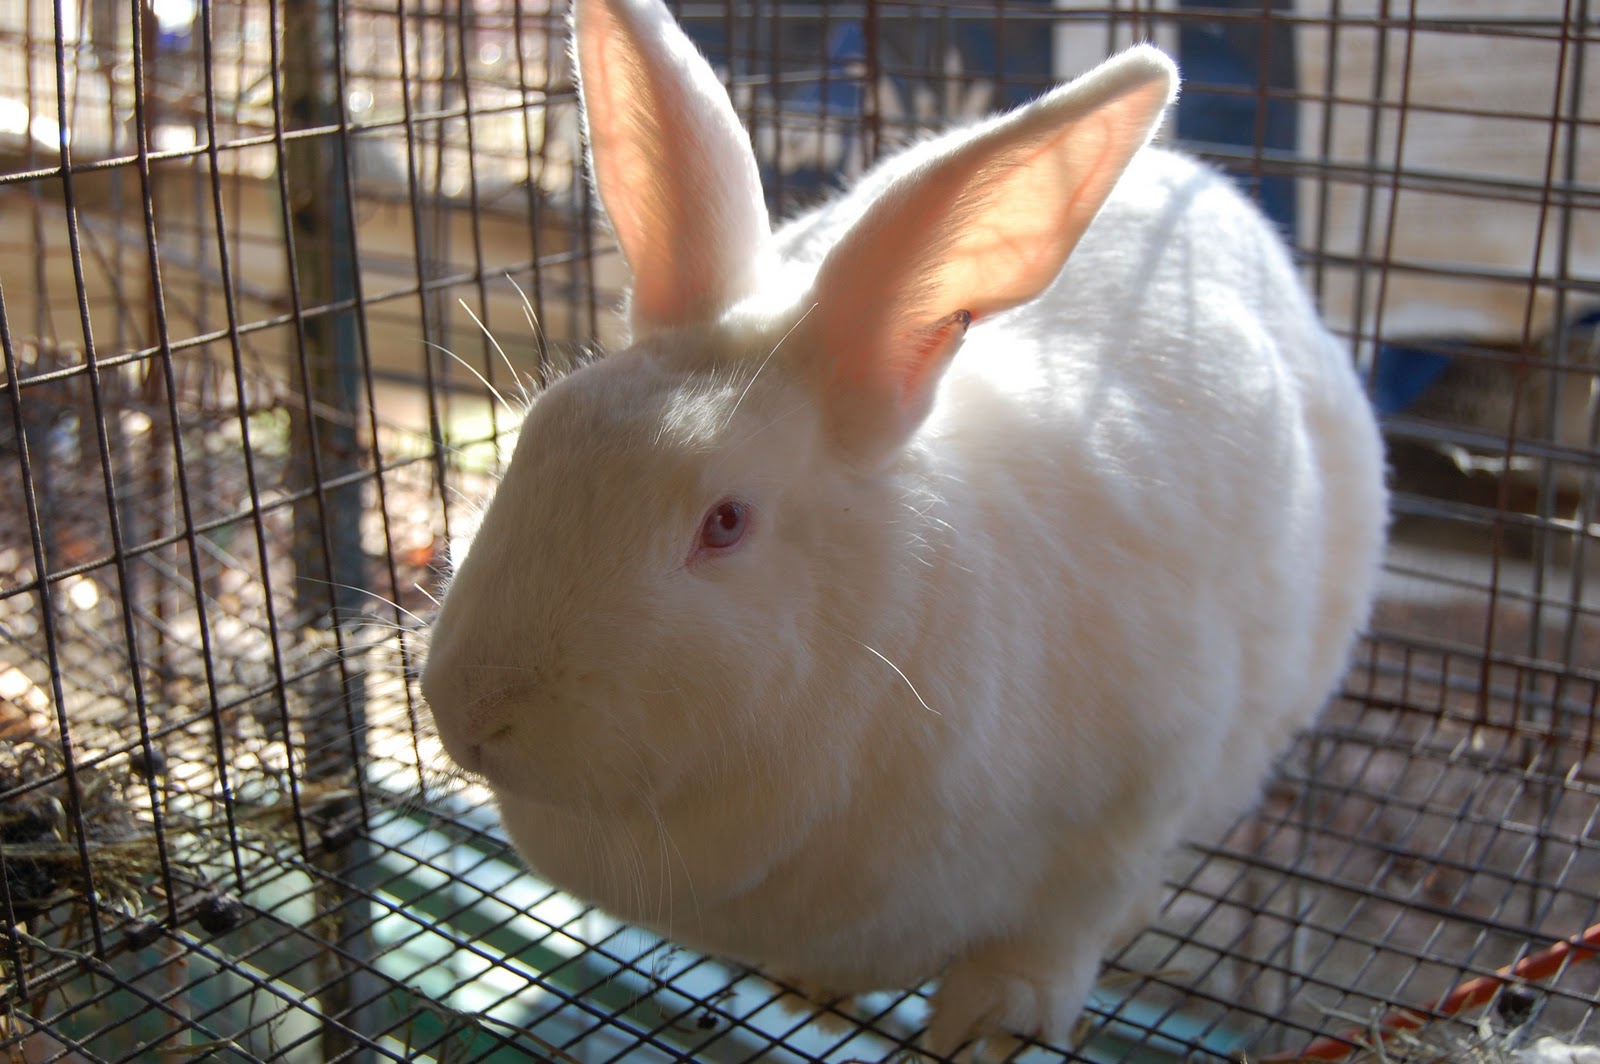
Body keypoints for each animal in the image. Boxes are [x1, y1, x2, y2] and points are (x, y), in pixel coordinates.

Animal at [420, 0, 1390, 1056]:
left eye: (725, 522)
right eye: (536, 434)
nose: (469, 715)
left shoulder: (1146, 784)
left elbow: (1062, 927)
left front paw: (997, 1024)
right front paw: (813, 985)